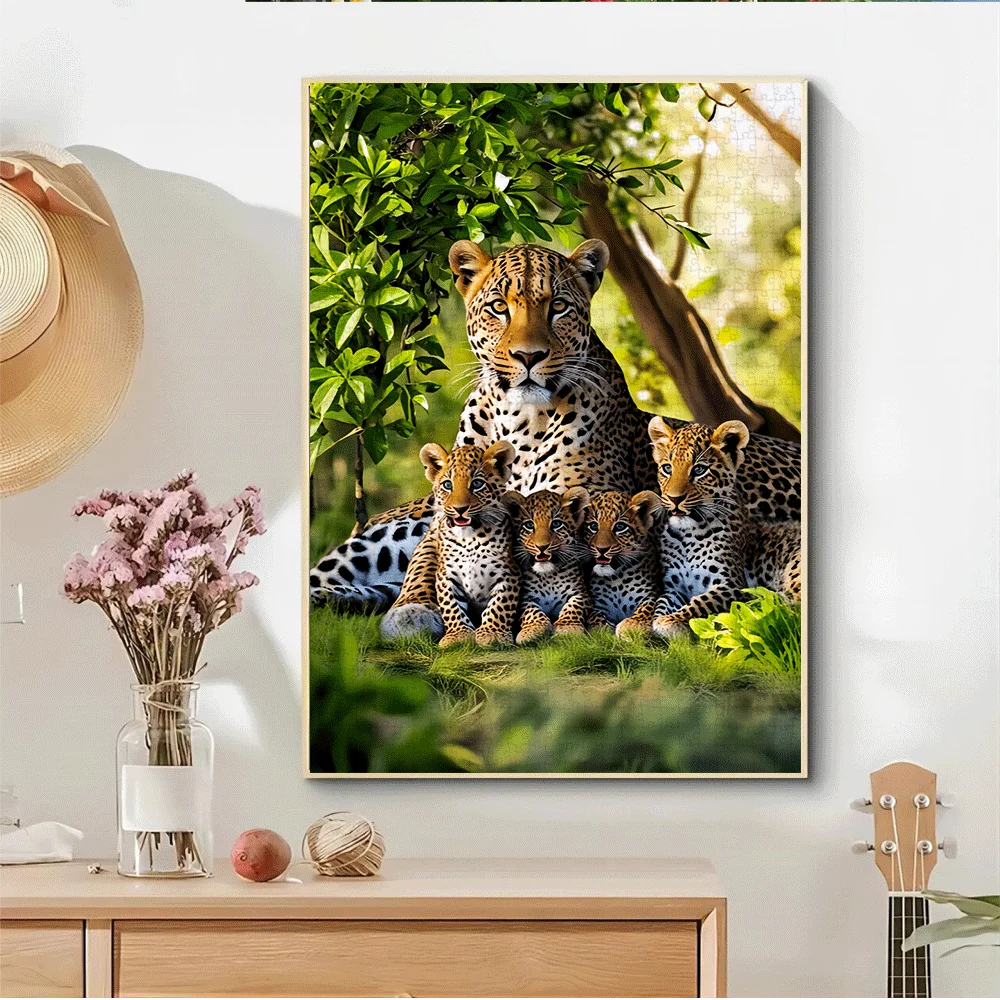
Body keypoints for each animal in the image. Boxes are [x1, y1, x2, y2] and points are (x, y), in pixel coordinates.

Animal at [310, 236, 802, 612]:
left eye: (559, 307)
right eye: (499, 307)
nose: (529, 356)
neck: (517, 423)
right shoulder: (441, 519)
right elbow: (426, 560)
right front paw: (414, 606)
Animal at [379, 440, 520, 648]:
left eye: (477, 484)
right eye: (448, 485)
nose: (459, 509)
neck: (470, 539)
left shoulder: (508, 572)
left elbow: (500, 606)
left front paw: (492, 633)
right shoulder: (447, 574)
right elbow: (451, 605)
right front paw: (458, 635)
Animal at [505, 488, 592, 645]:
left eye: (556, 524)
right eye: (529, 525)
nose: (542, 547)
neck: (549, 576)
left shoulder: (582, 594)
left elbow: (573, 606)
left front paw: (567, 627)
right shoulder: (525, 598)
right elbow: (531, 612)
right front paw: (532, 629)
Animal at [574, 488, 664, 637]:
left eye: (620, 527)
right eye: (593, 526)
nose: (601, 549)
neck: (616, 579)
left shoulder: (649, 595)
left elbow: (647, 608)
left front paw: (631, 626)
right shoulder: (599, 604)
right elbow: (595, 617)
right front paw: (602, 630)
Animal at [646, 416, 802, 640]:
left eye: (699, 470)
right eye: (667, 469)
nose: (674, 499)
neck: (687, 535)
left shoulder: (731, 585)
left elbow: (701, 602)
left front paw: (670, 622)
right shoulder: (673, 586)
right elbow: (661, 602)